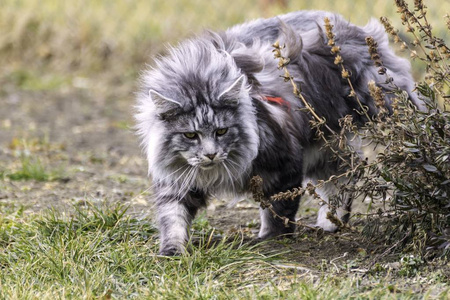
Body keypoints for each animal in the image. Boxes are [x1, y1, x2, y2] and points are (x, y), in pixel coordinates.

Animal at [134, 11, 422, 255]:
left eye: (221, 131)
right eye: (190, 136)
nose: (210, 155)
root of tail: (348, 26)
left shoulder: (284, 165)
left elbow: (277, 210)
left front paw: (270, 240)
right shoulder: (176, 183)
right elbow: (173, 219)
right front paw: (172, 252)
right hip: (325, 147)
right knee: (343, 176)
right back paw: (331, 222)